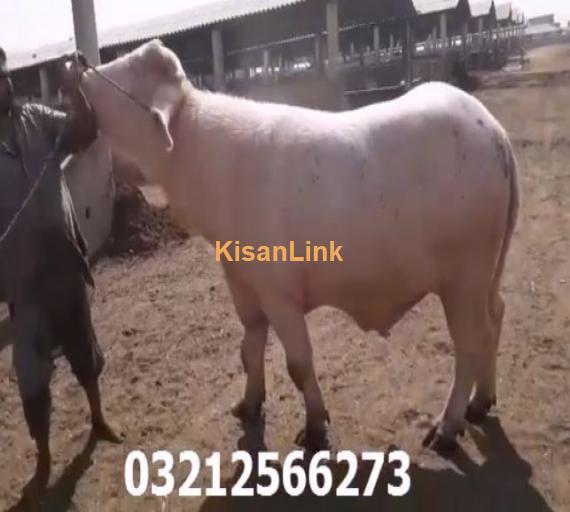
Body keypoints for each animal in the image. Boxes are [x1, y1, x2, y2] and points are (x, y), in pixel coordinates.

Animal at [80, 39, 520, 448]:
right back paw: (481, 405)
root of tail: (495, 131)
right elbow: (249, 348)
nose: (80, 68)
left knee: (470, 340)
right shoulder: (241, 281)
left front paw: (312, 431)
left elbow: (298, 363)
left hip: (465, 273)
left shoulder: (279, 292)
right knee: (496, 314)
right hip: (487, 271)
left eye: (131, 69)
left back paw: (445, 430)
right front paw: (245, 407)